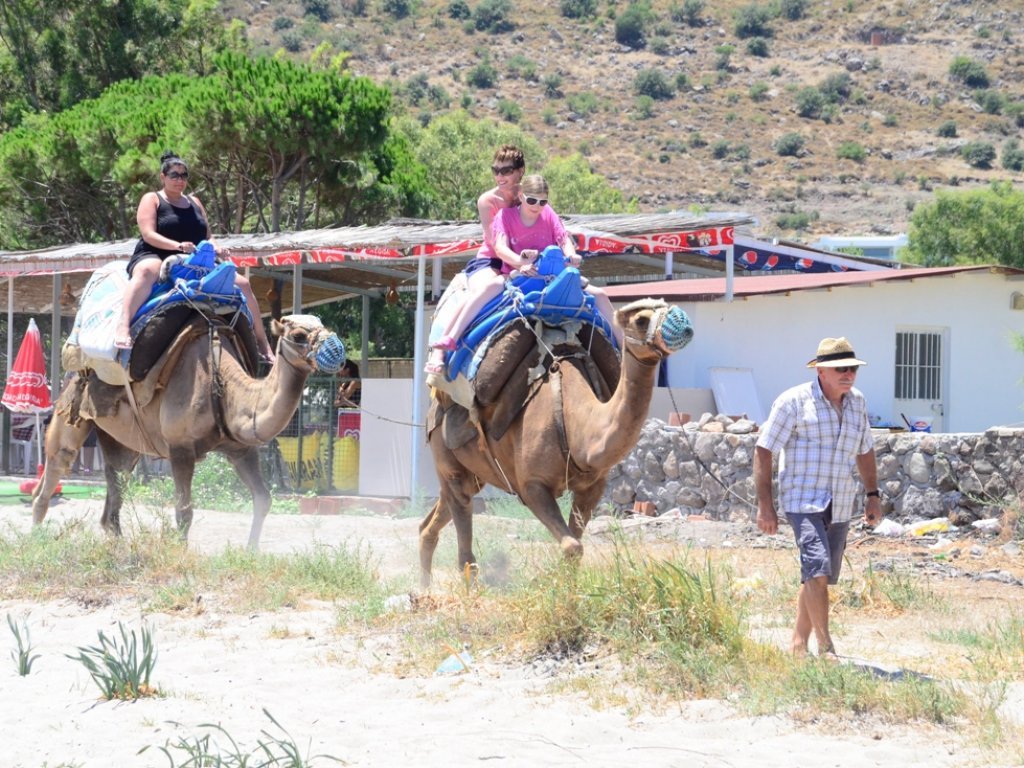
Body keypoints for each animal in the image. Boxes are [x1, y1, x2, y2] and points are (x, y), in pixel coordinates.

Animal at [30, 313, 344, 548]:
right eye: (299, 335)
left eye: (325, 326)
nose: (337, 350)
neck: (222, 385)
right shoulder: (180, 448)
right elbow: (184, 511)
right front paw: (180, 555)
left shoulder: (240, 448)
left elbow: (263, 499)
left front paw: (251, 552)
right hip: (70, 410)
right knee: (54, 471)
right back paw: (36, 541)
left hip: (121, 440)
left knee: (116, 484)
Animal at [419, 296, 692, 585]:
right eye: (640, 320)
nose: (684, 325)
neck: (577, 426)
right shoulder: (532, 486)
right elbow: (572, 546)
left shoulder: (592, 488)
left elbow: (576, 545)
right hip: (447, 458)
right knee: (465, 547)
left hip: (474, 475)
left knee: (432, 522)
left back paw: (423, 589)